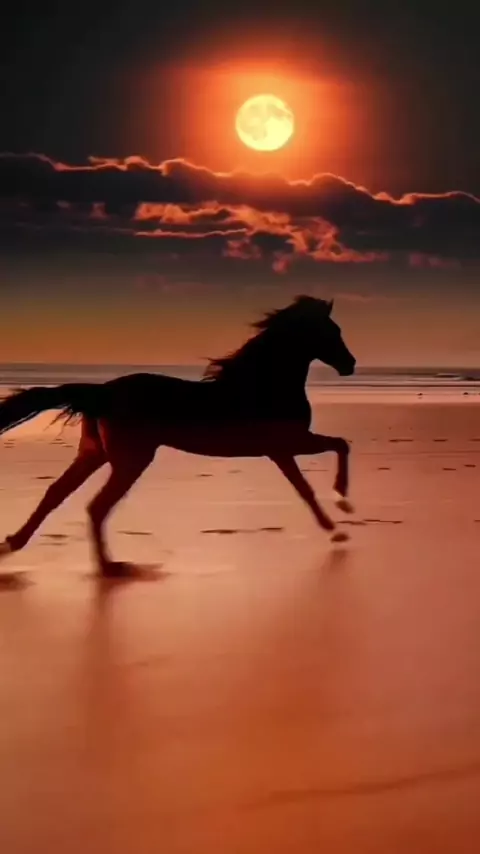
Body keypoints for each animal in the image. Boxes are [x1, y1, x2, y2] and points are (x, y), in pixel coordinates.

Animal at [0, 295, 356, 576]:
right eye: (332, 331)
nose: (351, 365)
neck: (264, 386)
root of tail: (102, 392)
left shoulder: (283, 450)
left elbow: (310, 482)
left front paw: (335, 524)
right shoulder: (288, 445)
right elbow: (336, 452)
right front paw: (342, 507)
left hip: (93, 454)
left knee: (55, 493)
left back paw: (13, 544)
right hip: (130, 461)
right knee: (97, 506)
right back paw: (110, 567)